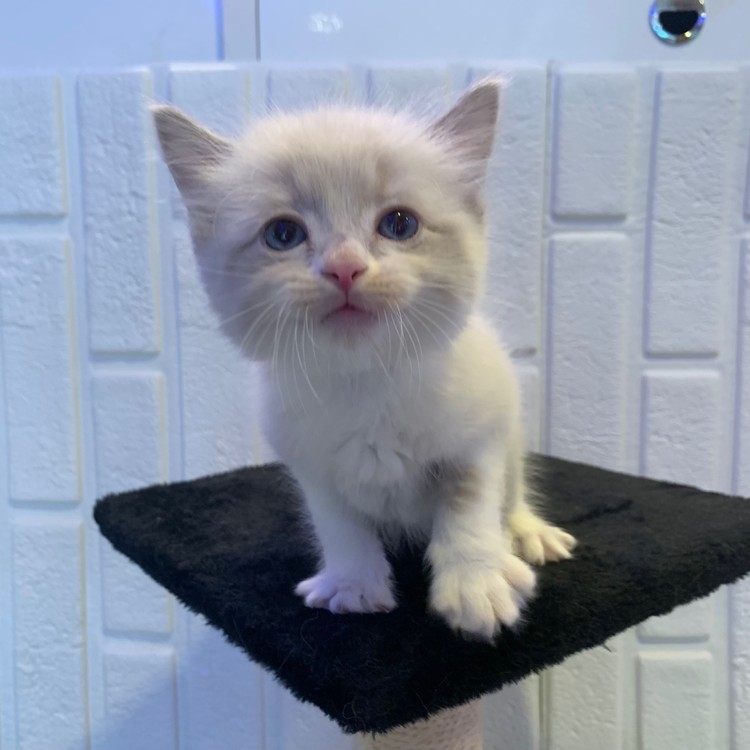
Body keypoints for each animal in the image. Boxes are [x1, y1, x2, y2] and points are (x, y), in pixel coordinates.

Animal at [152, 80, 576, 640]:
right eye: (283, 234)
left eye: (399, 224)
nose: (345, 268)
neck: (366, 381)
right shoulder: (310, 464)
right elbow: (340, 525)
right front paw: (353, 589)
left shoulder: (481, 434)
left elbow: (469, 504)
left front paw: (475, 587)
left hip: (512, 435)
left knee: (514, 493)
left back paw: (528, 534)